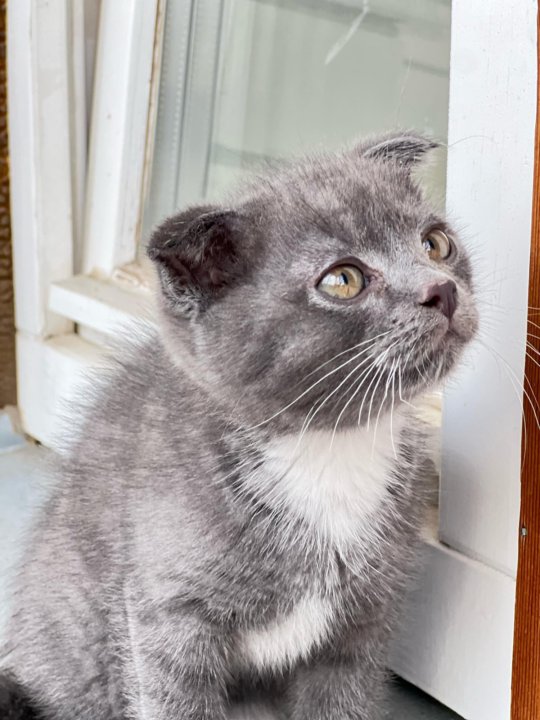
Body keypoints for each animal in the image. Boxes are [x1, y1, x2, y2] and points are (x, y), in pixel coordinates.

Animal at [0, 132, 478, 720]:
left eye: (435, 244)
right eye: (343, 280)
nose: (442, 290)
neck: (328, 449)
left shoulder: (363, 621)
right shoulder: (171, 619)